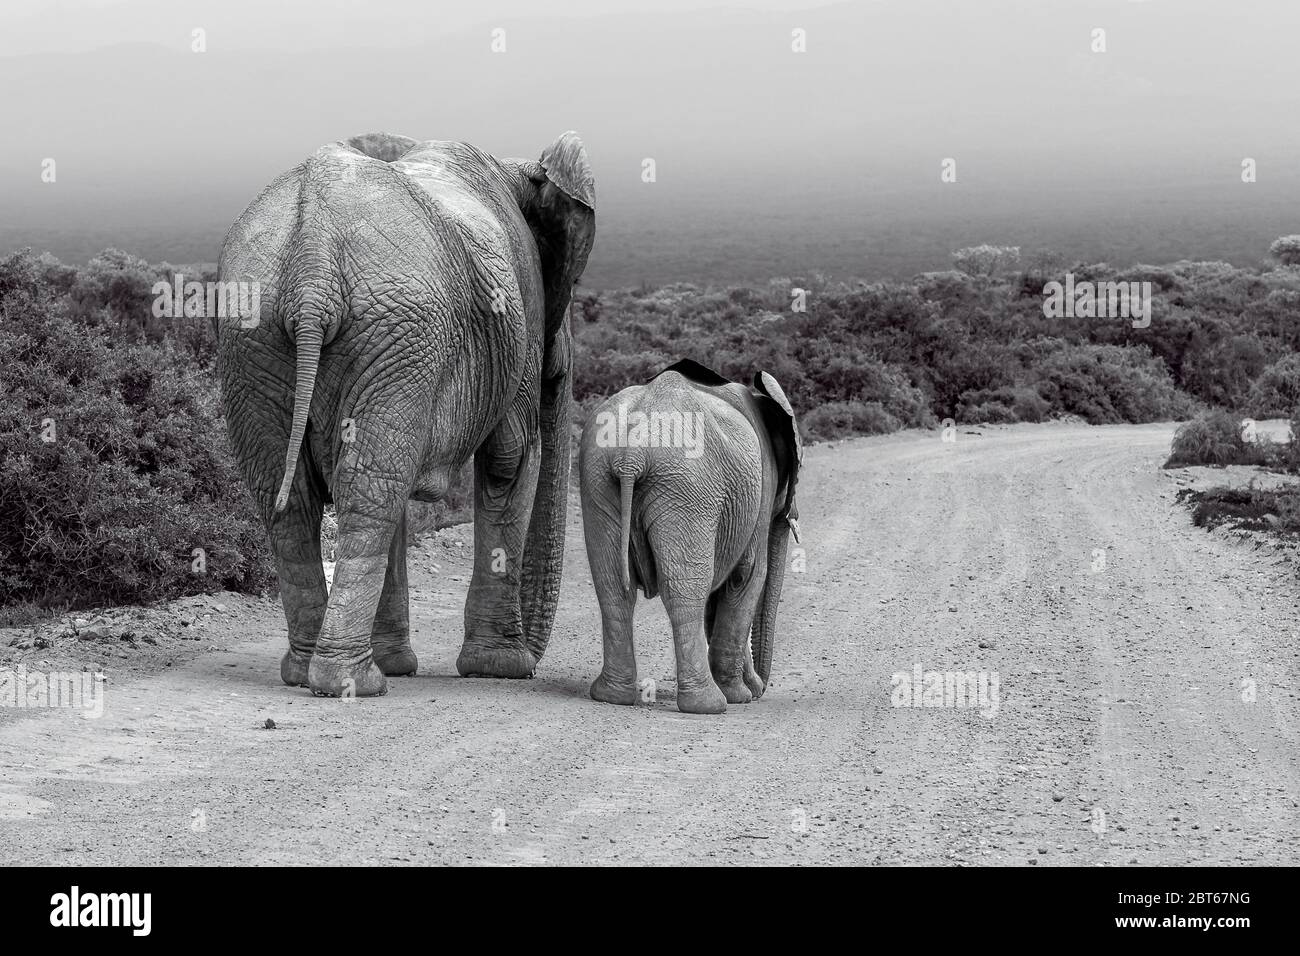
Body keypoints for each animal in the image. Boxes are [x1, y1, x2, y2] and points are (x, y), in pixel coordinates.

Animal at [217, 130, 595, 697]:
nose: (533, 663)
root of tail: (313, 255)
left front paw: (405, 663)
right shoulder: (520, 319)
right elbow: (510, 460)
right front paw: (500, 667)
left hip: (259, 332)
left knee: (306, 497)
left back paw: (308, 673)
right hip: (393, 333)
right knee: (368, 488)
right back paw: (351, 681)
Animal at [582, 358, 800, 712]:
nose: (760, 688)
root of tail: (632, 454)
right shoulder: (761, 486)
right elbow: (746, 577)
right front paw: (740, 696)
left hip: (598, 478)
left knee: (612, 585)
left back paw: (611, 696)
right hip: (687, 486)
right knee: (685, 591)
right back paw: (708, 704)